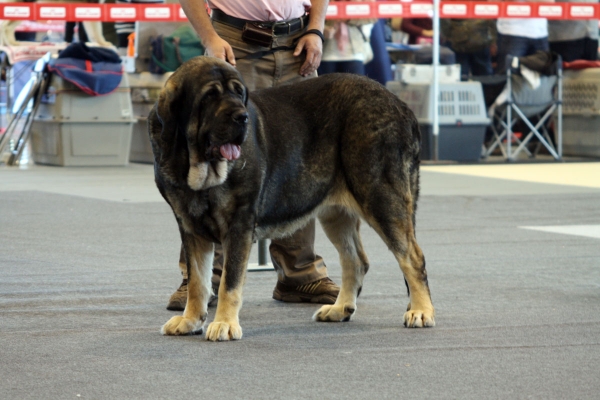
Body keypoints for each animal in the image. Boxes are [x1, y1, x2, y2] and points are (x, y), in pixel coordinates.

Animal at [148, 56, 434, 340]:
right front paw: (190, 320)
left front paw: (225, 324)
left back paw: (421, 311)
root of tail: (400, 105)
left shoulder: (238, 224)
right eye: (209, 96)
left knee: (412, 257)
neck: (195, 164)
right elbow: (198, 281)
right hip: (336, 213)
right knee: (355, 261)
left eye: (238, 93)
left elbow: (229, 281)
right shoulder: (189, 226)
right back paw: (340, 309)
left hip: (381, 198)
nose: (242, 117)